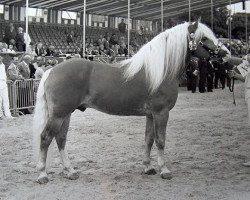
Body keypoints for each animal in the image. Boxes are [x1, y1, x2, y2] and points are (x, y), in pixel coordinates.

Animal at [33, 19, 230, 184]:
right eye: (204, 38)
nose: (226, 54)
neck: (161, 70)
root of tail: (51, 70)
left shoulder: (151, 115)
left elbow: (149, 139)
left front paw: (148, 167)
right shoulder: (161, 113)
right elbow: (161, 140)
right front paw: (164, 170)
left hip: (66, 114)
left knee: (61, 138)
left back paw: (70, 171)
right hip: (59, 114)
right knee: (45, 137)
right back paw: (42, 174)